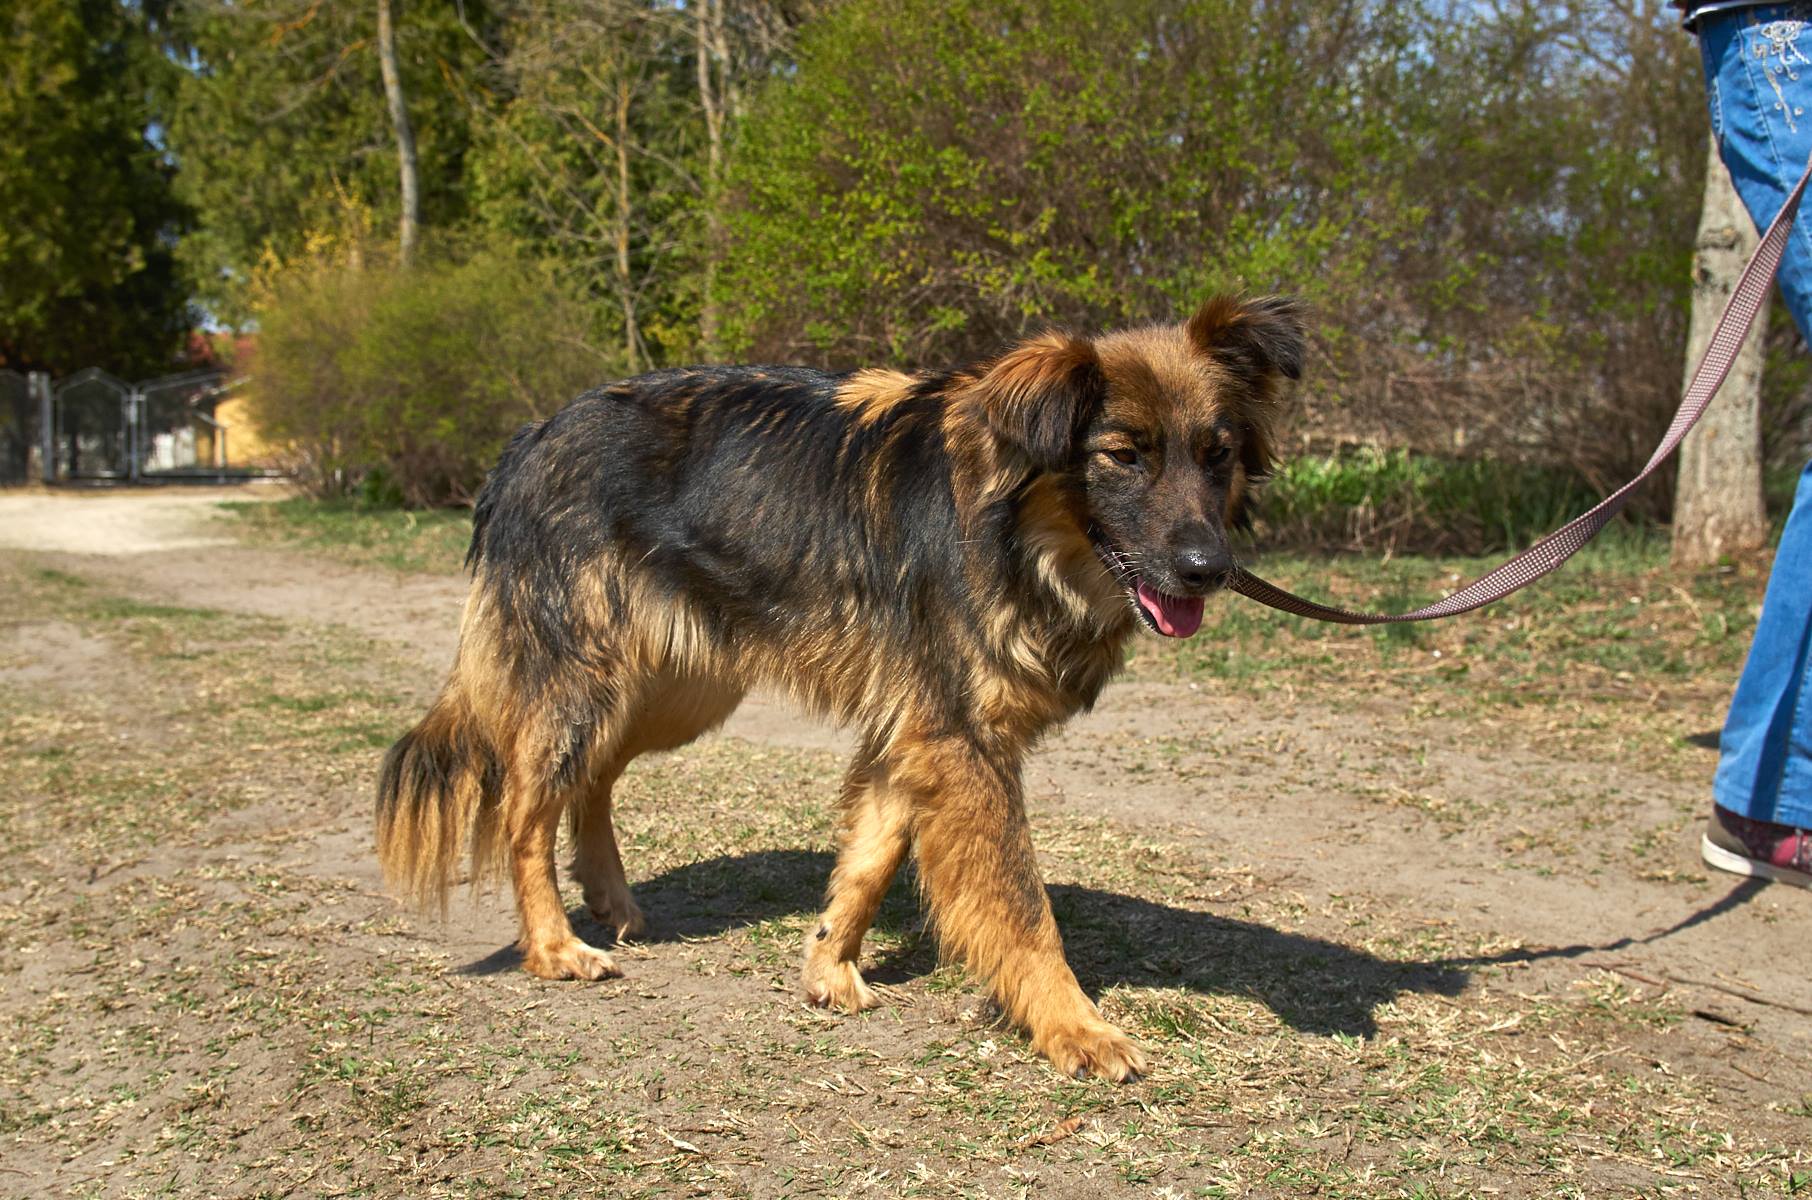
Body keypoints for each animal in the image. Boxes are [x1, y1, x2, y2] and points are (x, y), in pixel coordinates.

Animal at [376, 294, 1303, 1081]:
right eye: (1122, 455)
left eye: (1217, 454)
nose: (1210, 569)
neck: (1014, 532)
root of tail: (531, 437)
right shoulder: (962, 742)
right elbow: (1022, 906)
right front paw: (1075, 1026)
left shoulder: (915, 734)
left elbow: (868, 858)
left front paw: (828, 965)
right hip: (585, 683)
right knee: (523, 807)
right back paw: (553, 945)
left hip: (675, 689)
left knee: (592, 779)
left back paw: (614, 902)